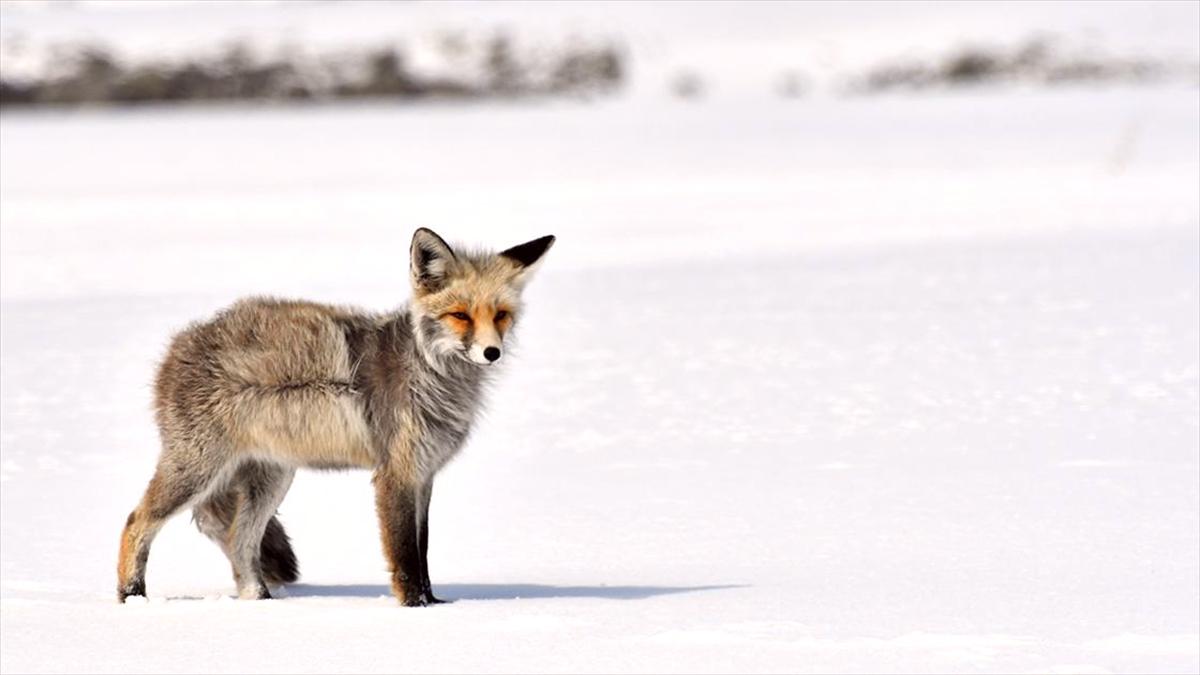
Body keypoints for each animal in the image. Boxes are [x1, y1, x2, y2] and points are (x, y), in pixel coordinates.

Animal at [114, 227, 554, 605]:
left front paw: (436, 603)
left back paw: (260, 599)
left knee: (240, 540)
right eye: (460, 315)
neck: (431, 374)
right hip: (197, 469)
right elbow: (405, 557)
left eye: (501, 315)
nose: (492, 353)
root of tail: (177, 345)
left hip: (271, 478)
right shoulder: (396, 474)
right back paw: (132, 595)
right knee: (137, 521)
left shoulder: (424, 475)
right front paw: (416, 608)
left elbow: (423, 550)